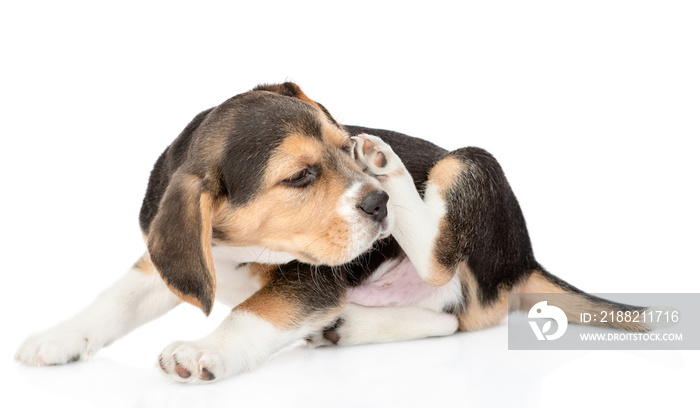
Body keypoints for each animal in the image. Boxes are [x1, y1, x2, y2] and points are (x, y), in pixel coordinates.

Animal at [16, 82, 648, 382]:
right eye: (300, 176)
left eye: (345, 146)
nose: (375, 204)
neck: (236, 248)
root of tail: (524, 258)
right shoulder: (172, 258)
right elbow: (115, 298)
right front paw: (57, 337)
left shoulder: (313, 281)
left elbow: (257, 311)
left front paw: (205, 350)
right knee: (449, 321)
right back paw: (347, 325)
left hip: (467, 167)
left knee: (447, 272)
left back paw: (392, 172)